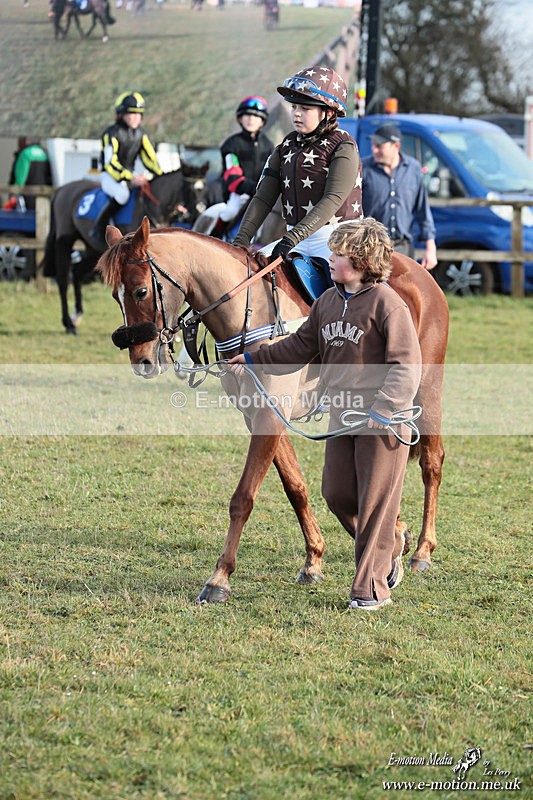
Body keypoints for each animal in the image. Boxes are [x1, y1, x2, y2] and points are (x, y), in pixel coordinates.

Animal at [42, 165, 209, 334]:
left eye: (204, 188)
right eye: (189, 188)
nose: (200, 211)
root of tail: (62, 189)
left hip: (93, 251)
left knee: (76, 273)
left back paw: (77, 316)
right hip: (64, 242)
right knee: (63, 279)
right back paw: (69, 324)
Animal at [98, 218, 448, 604]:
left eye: (141, 291)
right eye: (115, 296)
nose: (142, 361)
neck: (248, 314)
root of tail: (421, 274)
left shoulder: (270, 416)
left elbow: (243, 497)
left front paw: (219, 579)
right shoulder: (260, 414)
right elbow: (296, 487)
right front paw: (316, 559)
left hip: (426, 388)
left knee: (431, 462)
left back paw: (423, 551)